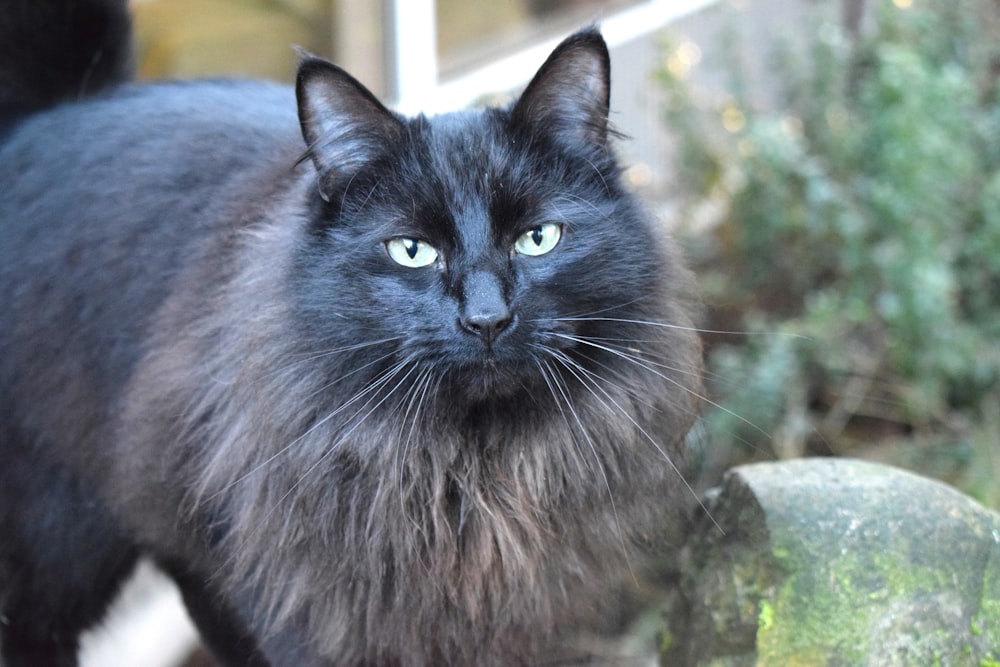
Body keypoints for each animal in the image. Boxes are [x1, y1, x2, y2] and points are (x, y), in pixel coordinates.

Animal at [0, 2, 704, 664]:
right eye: (411, 251)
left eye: (537, 239)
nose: (486, 318)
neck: (472, 472)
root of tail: (58, 111)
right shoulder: (313, 614)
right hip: (57, 551)